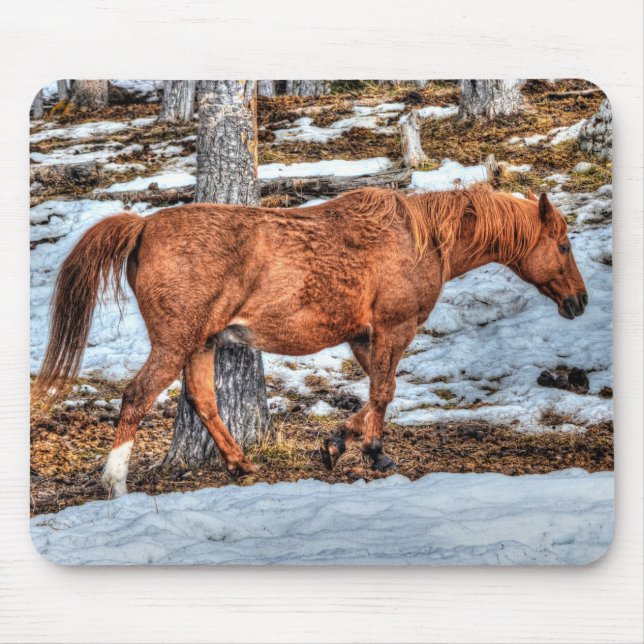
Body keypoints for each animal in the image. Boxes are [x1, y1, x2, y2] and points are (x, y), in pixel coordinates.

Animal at [35, 185, 587, 497]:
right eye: (562, 245)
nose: (579, 302)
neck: (421, 238)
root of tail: (144, 225)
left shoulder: (365, 336)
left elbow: (376, 393)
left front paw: (339, 441)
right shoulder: (393, 328)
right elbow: (384, 392)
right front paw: (374, 452)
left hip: (201, 343)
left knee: (203, 400)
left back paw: (240, 464)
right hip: (176, 342)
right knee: (136, 396)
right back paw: (116, 481)